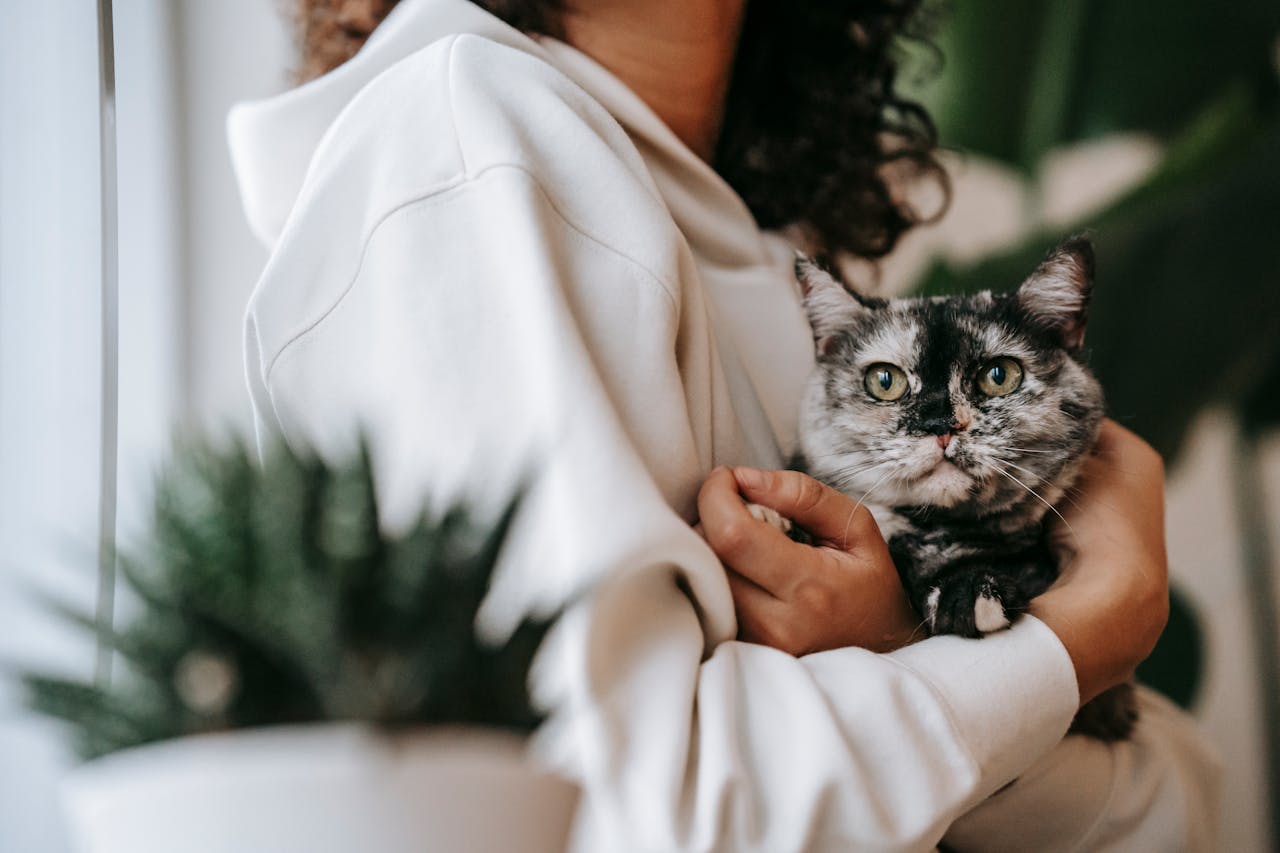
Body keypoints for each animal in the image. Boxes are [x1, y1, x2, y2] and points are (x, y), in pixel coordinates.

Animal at [768, 236, 1141, 737]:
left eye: (999, 375)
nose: (939, 424)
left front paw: (973, 595)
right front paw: (774, 519)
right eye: (884, 380)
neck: (935, 535)